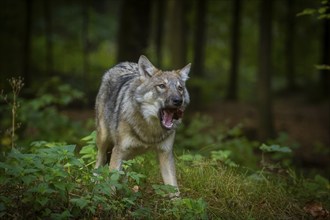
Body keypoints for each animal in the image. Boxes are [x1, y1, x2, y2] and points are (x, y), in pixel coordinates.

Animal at [94, 54, 191, 195]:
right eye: (162, 86)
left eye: (180, 88)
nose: (178, 100)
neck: (150, 130)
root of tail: (121, 64)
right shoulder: (118, 150)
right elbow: (111, 183)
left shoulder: (166, 154)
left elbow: (174, 189)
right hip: (104, 139)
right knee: (99, 162)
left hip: (129, 154)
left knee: (124, 172)